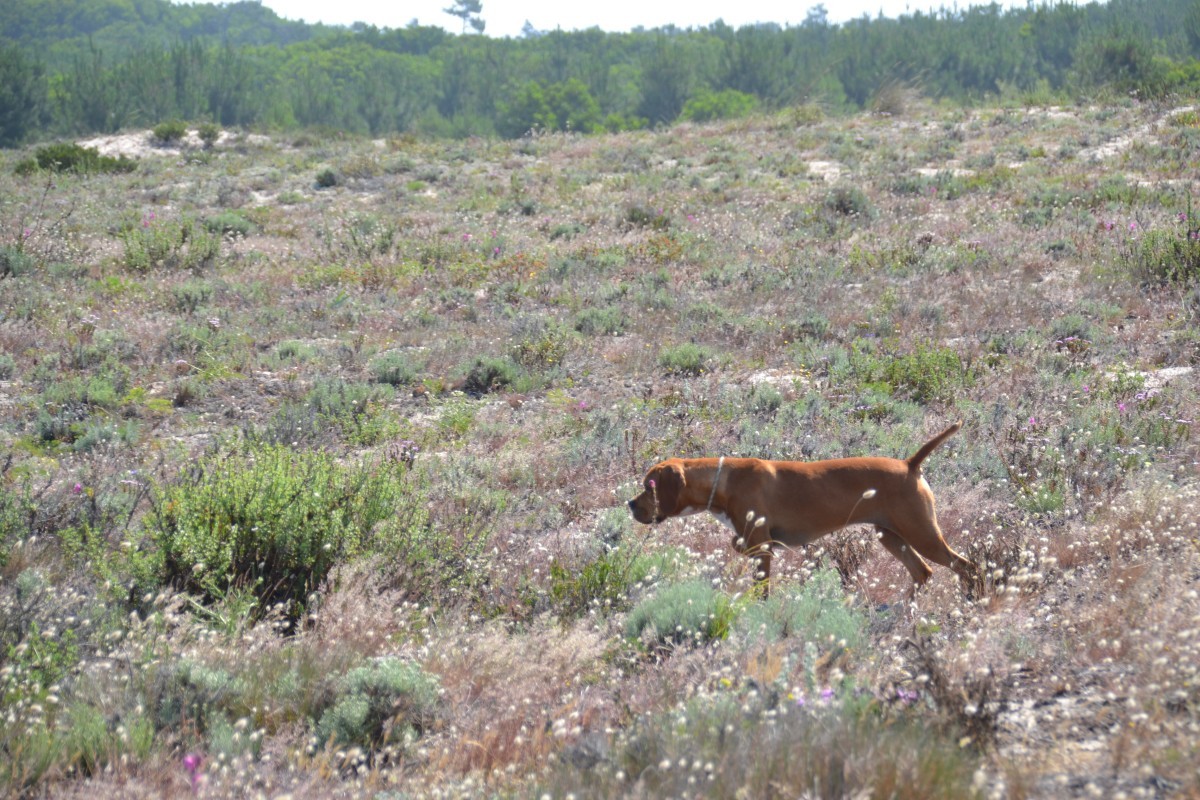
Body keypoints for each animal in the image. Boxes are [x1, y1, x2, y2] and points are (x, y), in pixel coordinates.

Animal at [627, 422, 976, 596]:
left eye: (648, 486)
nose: (630, 504)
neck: (723, 480)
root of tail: (910, 464)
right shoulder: (753, 543)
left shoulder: (762, 550)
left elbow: (761, 591)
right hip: (891, 536)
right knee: (923, 573)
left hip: (922, 535)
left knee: (965, 566)